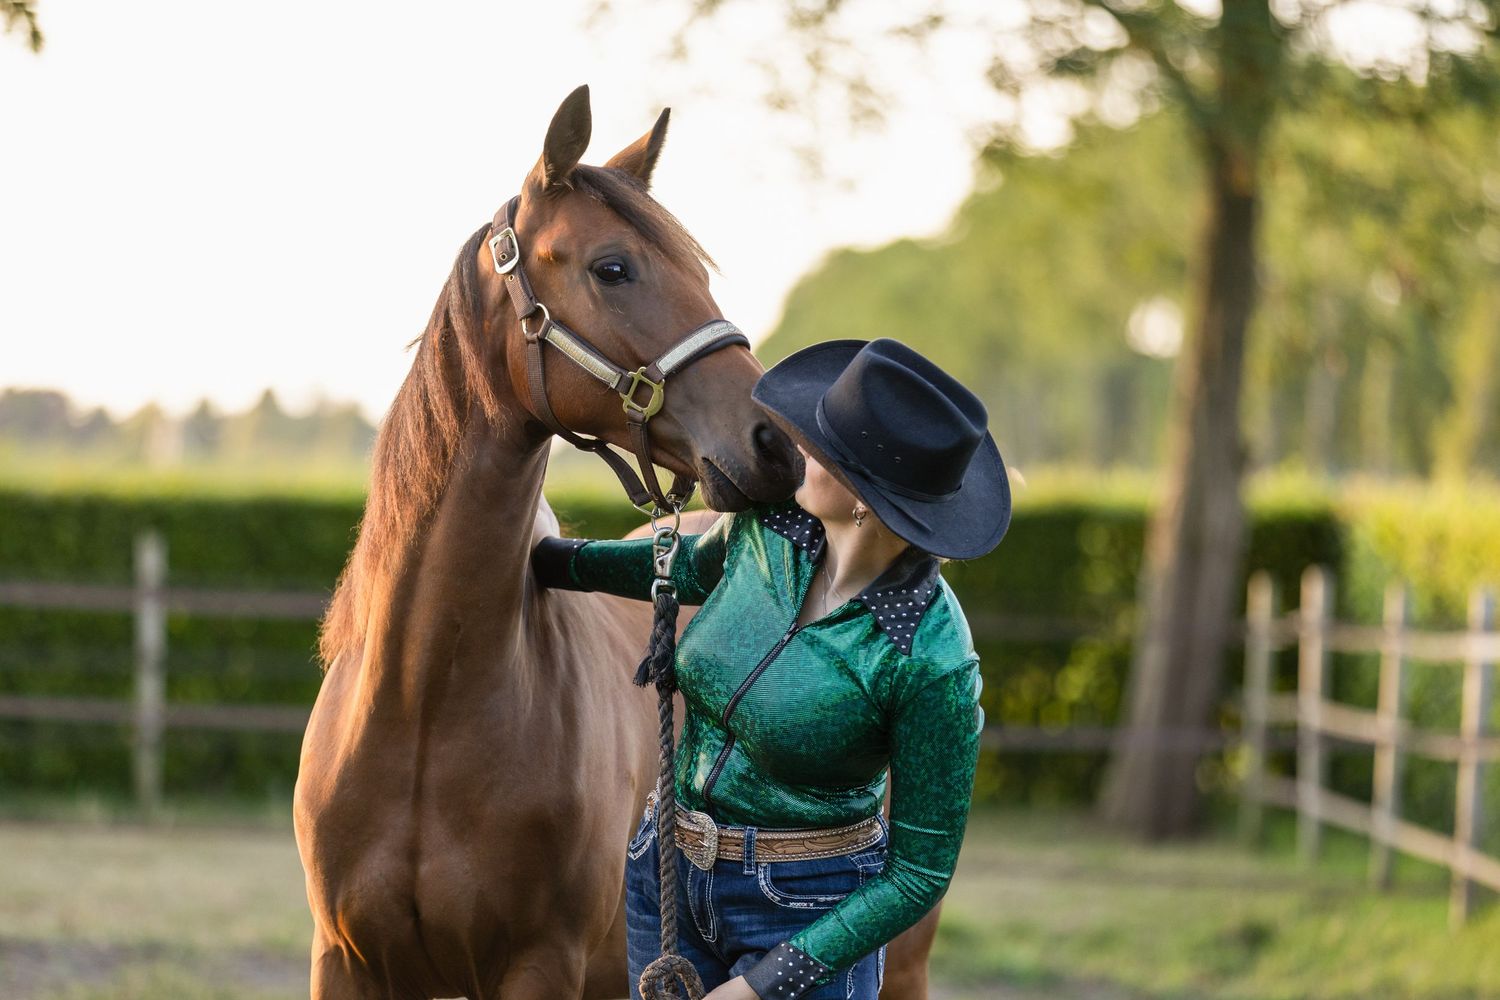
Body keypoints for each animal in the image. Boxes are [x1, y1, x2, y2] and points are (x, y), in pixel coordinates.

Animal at [293, 84, 941, 1000]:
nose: (779, 446)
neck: (425, 708)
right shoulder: (344, 961)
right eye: (612, 267)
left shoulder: (542, 965)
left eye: (699, 271)